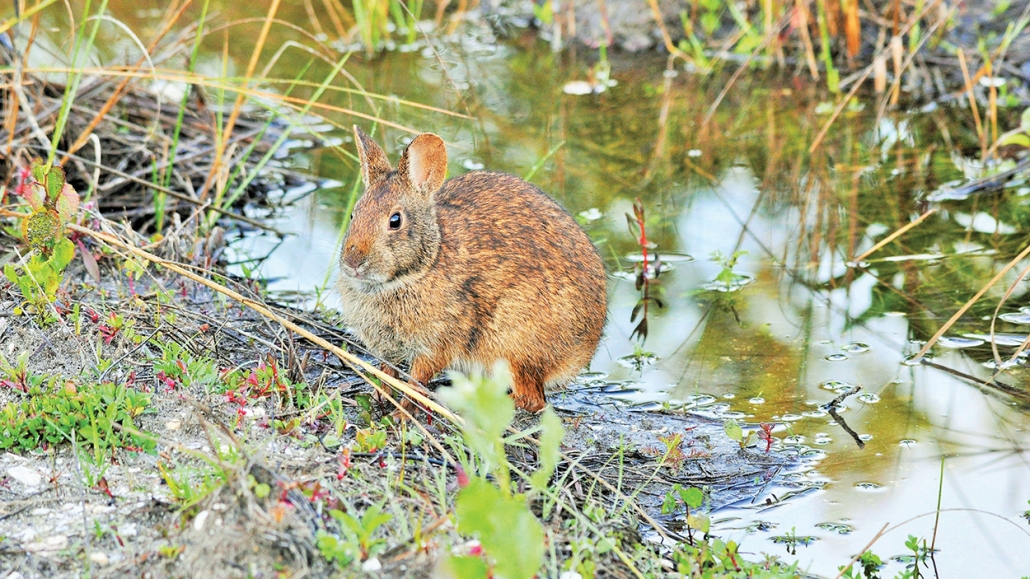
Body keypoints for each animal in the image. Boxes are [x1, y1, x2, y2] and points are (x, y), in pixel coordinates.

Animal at [337, 127, 605, 412]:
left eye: (395, 221)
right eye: (354, 214)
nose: (353, 261)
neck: (420, 268)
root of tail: (581, 352)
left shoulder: (437, 342)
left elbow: (417, 379)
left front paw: (403, 411)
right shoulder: (388, 350)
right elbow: (387, 372)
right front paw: (379, 396)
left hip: (512, 345)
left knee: (531, 399)